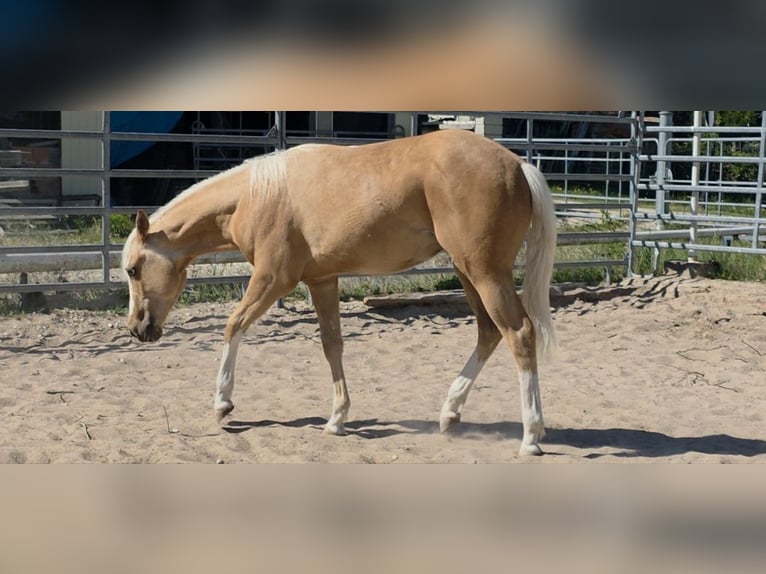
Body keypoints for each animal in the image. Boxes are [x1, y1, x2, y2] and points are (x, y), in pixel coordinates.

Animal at [121, 128, 557, 455]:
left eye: (132, 269)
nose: (137, 328)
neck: (256, 196)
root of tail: (517, 164)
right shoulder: (322, 280)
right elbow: (332, 344)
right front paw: (336, 420)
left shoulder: (273, 278)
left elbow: (233, 325)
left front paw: (222, 404)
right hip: (468, 272)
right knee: (488, 332)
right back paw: (450, 414)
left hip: (485, 274)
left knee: (519, 332)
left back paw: (531, 436)